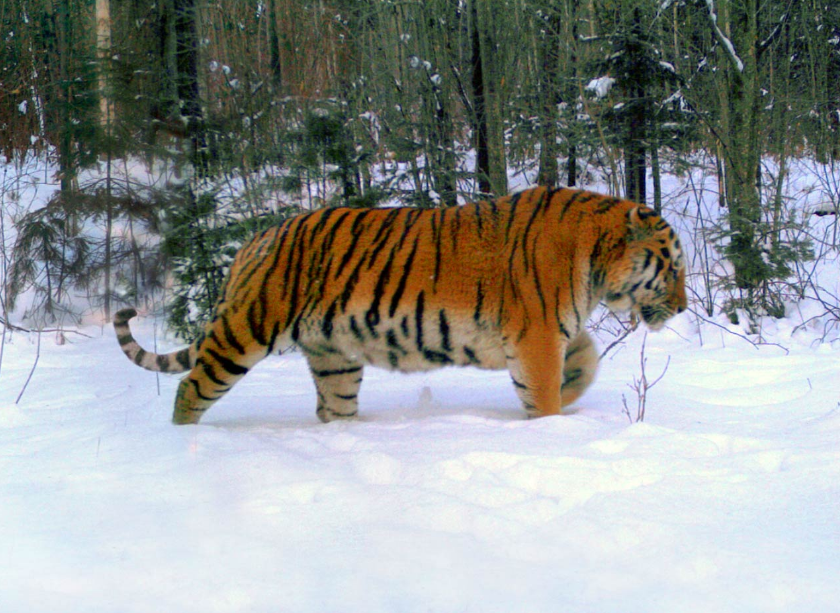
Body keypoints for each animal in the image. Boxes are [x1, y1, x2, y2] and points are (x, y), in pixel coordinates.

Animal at [115, 186, 684, 424]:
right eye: (674, 266)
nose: (681, 307)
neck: (595, 262)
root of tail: (255, 240)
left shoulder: (548, 331)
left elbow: (585, 357)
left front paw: (572, 393)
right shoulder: (537, 335)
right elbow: (544, 390)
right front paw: (550, 425)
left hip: (335, 358)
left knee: (333, 407)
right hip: (246, 328)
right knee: (190, 388)